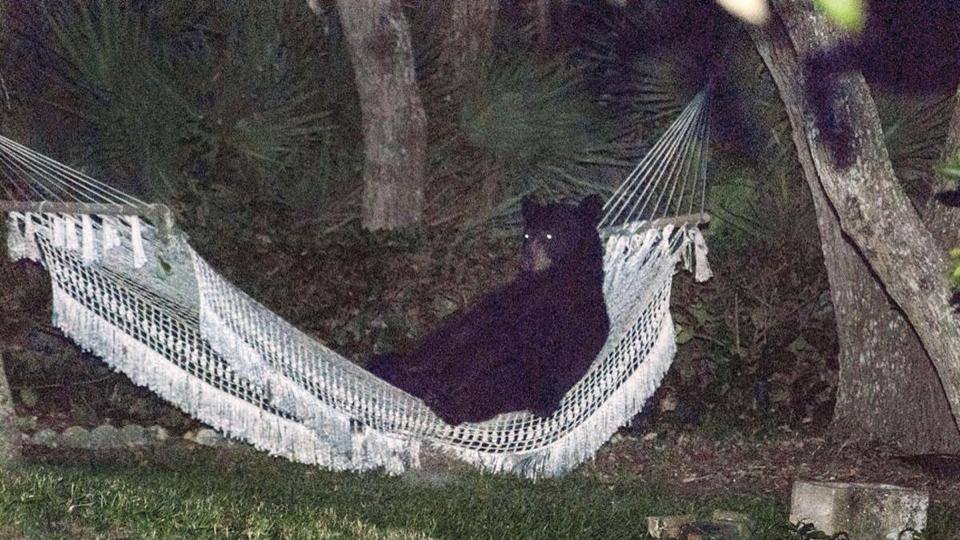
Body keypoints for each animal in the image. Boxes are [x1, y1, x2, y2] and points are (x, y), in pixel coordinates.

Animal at [368, 195, 608, 426]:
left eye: (549, 235)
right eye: (527, 235)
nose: (526, 260)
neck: (553, 279)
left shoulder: (567, 317)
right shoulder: (507, 301)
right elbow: (471, 331)